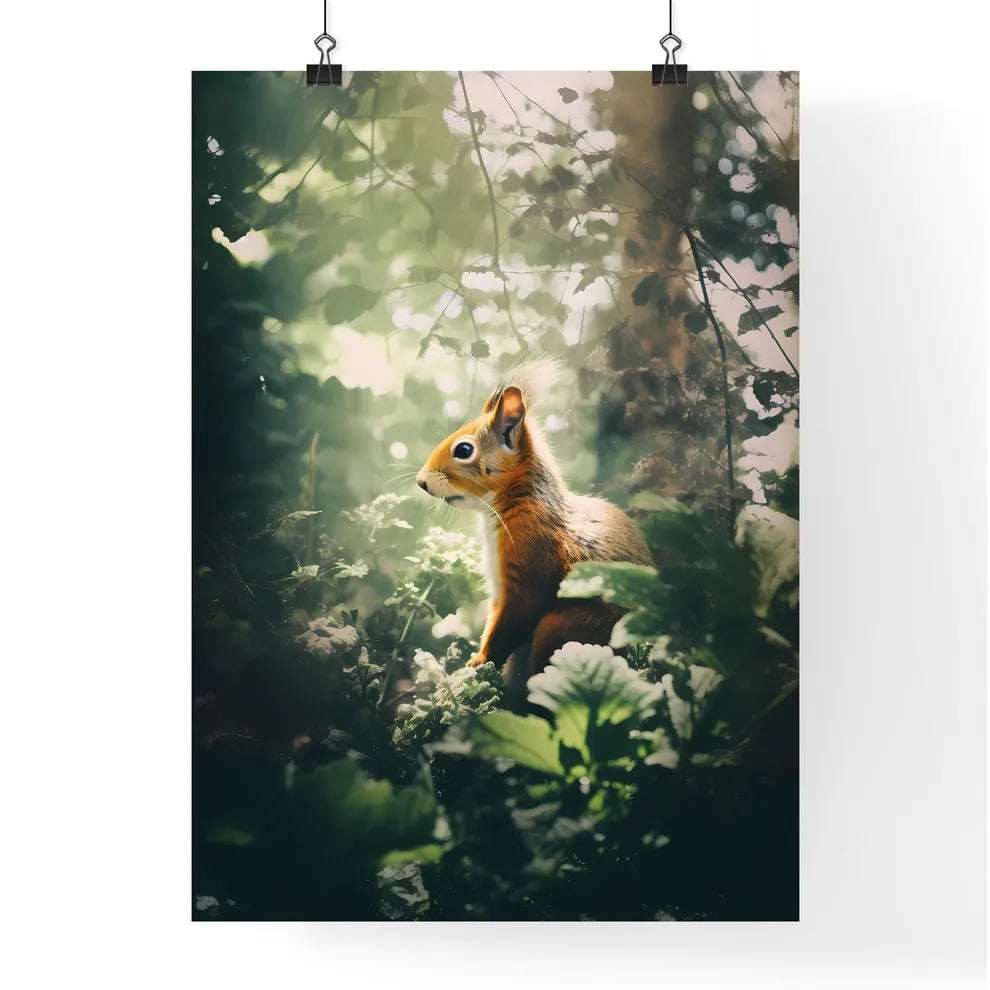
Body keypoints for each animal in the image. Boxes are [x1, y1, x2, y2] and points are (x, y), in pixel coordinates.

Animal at [415, 362, 652, 683]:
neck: (516, 501)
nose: (421, 481)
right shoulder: (500, 589)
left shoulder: (532, 561)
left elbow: (511, 624)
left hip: (564, 628)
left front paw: (479, 664)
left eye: (464, 450)